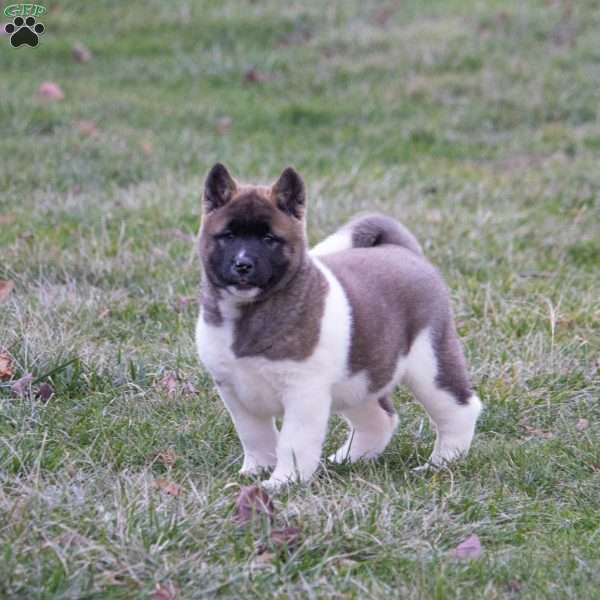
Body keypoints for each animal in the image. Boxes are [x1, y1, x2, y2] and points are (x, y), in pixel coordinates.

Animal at [197, 163, 482, 488]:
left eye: (269, 239)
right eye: (228, 236)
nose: (243, 265)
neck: (250, 311)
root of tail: (404, 250)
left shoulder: (303, 394)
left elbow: (293, 442)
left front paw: (283, 482)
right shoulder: (234, 392)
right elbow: (255, 436)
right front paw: (256, 471)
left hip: (430, 364)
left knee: (459, 409)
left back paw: (441, 464)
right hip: (361, 375)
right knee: (380, 419)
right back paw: (347, 459)